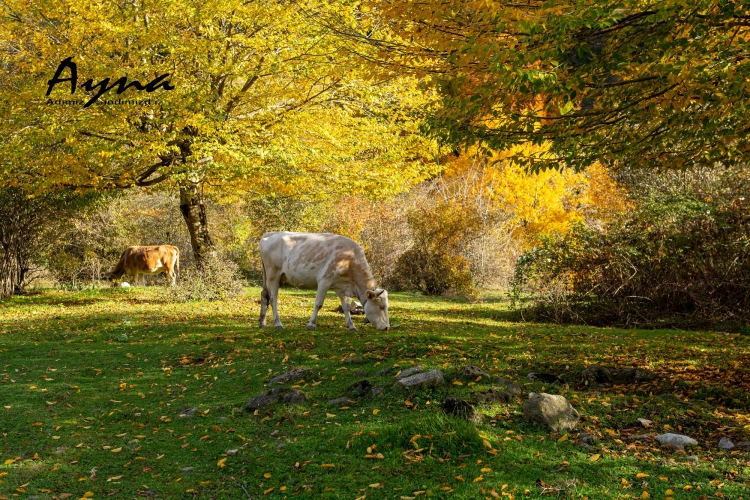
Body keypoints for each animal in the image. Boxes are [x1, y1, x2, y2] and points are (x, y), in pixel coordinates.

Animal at [260, 231, 390, 332]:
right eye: (381, 307)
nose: (387, 327)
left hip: (267, 275)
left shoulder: (342, 287)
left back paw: (262, 322)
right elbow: (318, 303)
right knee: (273, 298)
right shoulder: (325, 280)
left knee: (264, 294)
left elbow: (346, 306)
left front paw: (351, 325)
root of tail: (270, 234)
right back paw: (278, 323)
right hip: (273, 274)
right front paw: (311, 324)